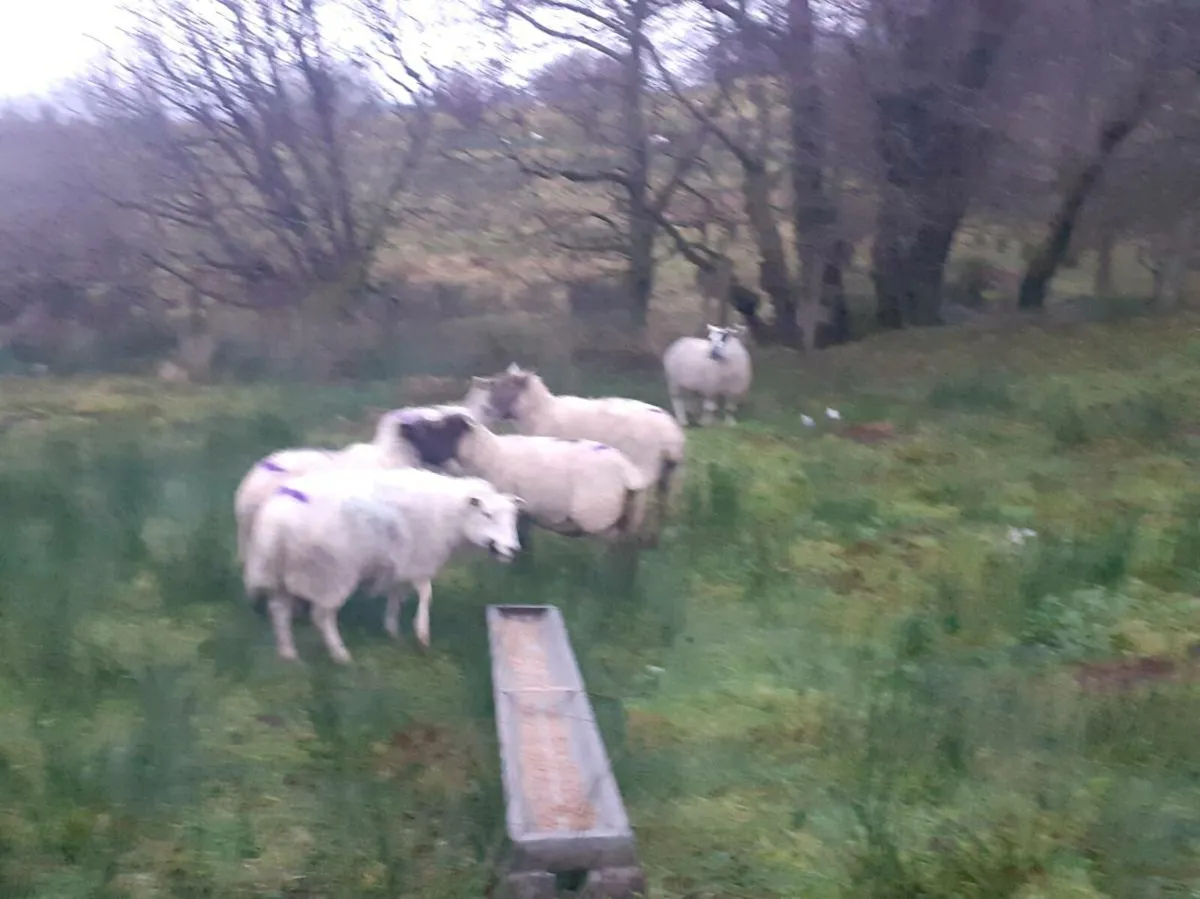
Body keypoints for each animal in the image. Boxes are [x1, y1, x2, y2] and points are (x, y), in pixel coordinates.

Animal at [243, 466, 524, 664]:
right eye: (487, 514)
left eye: (513, 519)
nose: (513, 550)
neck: (450, 516)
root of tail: (277, 517)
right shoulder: (419, 560)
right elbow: (426, 593)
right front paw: (421, 633)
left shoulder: (401, 564)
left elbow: (396, 595)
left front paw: (392, 630)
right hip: (330, 573)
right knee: (321, 616)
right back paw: (340, 655)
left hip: (283, 573)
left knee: (279, 611)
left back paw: (288, 654)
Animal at [398, 409, 651, 544]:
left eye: (438, 429)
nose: (406, 429)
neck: (488, 455)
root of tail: (628, 472)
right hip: (629, 518)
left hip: (601, 518)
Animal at [481, 364, 686, 547]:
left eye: (506, 386)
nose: (486, 411)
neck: (540, 413)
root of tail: (671, 434)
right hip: (667, 473)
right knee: (662, 506)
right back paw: (653, 541)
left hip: (644, 468)